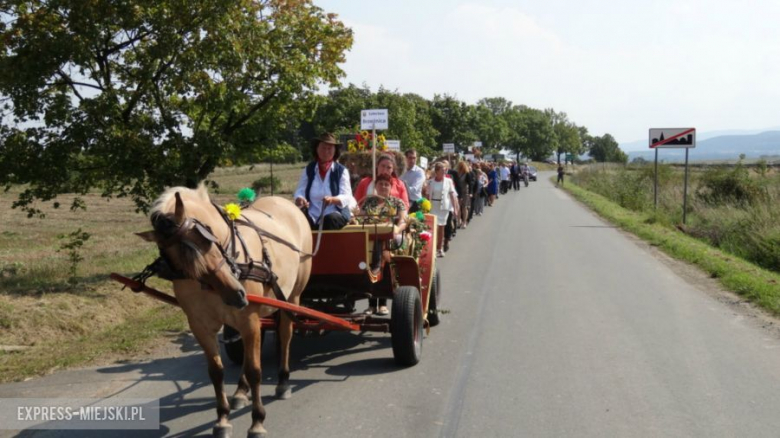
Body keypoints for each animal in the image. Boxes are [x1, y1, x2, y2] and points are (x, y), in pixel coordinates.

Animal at [137, 185, 310, 438]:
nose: (236, 294)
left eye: (206, 237)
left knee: (285, 334)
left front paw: (257, 421)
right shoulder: (200, 324)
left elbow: (255, 370)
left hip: (291, 296)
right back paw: (240, 392)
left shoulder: (248, 318)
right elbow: (216, 372)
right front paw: (222, 419)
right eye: (174, 260)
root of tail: (286, 202)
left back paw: (283, 381)